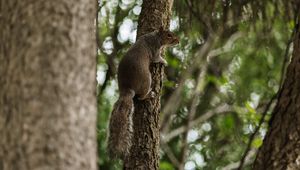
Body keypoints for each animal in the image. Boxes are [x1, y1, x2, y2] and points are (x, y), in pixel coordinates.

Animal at [107, 26, 179, 159]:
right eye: (169, 35)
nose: (178, 41)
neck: (155, 36)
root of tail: (127, 89)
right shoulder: (155, 50)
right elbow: (157, 59)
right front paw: (164, 61)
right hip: (147, 79)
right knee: (141, 97)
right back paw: (150, 94)